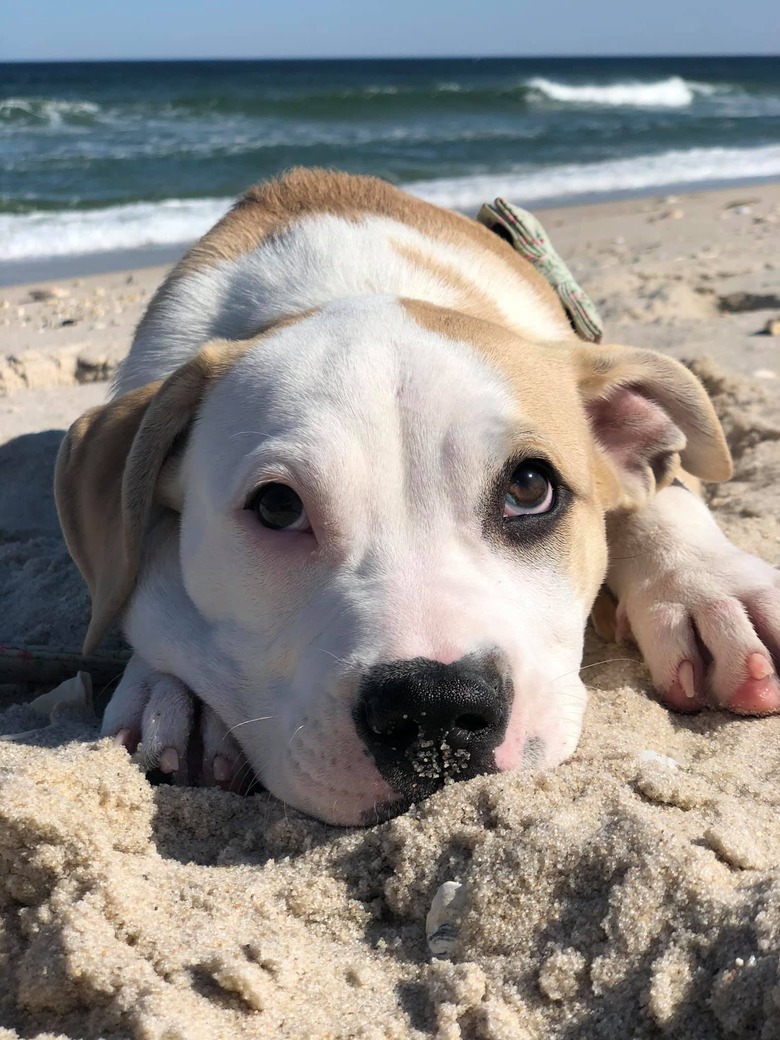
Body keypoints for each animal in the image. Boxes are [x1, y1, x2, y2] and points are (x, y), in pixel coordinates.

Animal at [55, 170, 780, 823]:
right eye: (278, 507)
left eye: (530, 488)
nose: (434, 705)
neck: (349, 284)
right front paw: (176, 693)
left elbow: (660, 492)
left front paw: (706, 588)